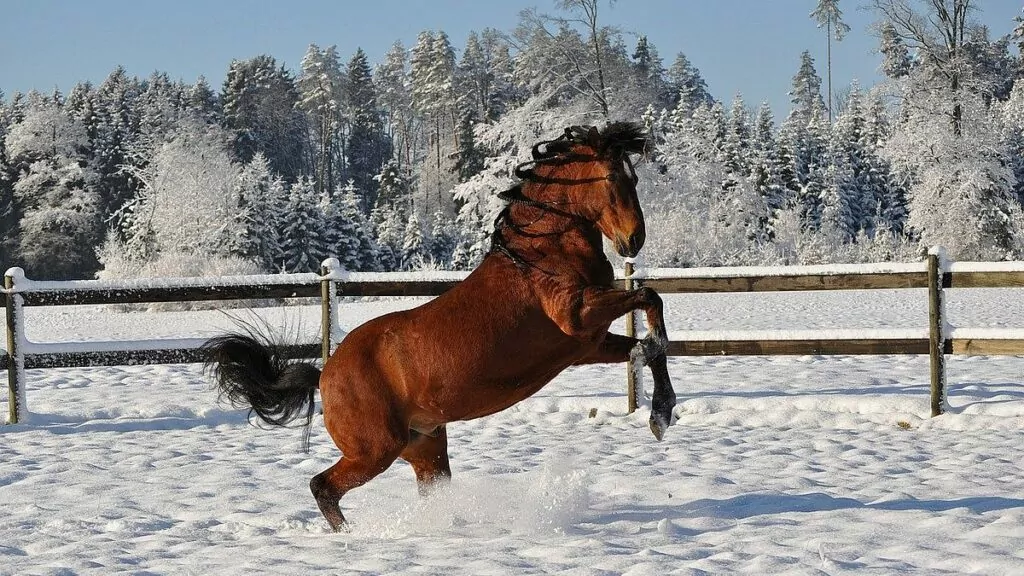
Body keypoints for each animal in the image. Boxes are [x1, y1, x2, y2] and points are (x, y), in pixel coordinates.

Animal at [202, 120, 675, 528]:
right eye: (613, 177)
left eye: (634, 177)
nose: (634, 240)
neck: (541, 255)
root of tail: (325, 374)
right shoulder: (577, 316)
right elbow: (650, 299)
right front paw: (660, 407)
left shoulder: (587, 344)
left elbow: (647, 346)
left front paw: (661, 413)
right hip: (375, 450)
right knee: (323, 487)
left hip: (424, 447)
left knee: (423, 489)